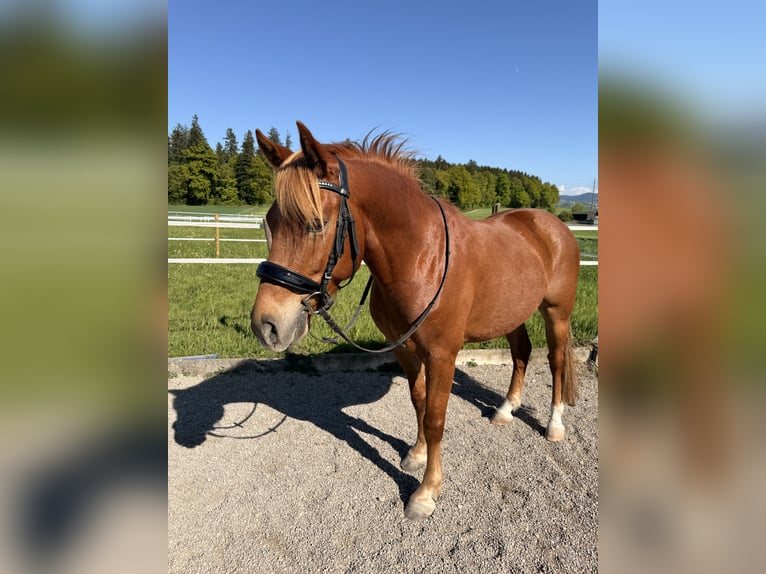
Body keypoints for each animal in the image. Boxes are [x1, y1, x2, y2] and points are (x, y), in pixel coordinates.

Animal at [250, 121, 580, 520]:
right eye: (270, 222)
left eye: (316, 224)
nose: (266, 325)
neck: (422, 255)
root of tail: (550, 224)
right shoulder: (406, 350)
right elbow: (419, 403)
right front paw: (416, 455)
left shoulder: (442, 355)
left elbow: (436, 419)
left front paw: (426, 491)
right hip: (512, 313)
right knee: (521, 352)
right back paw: (505, 409)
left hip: (556, 313)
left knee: (556, 360)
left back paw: (554, 425)